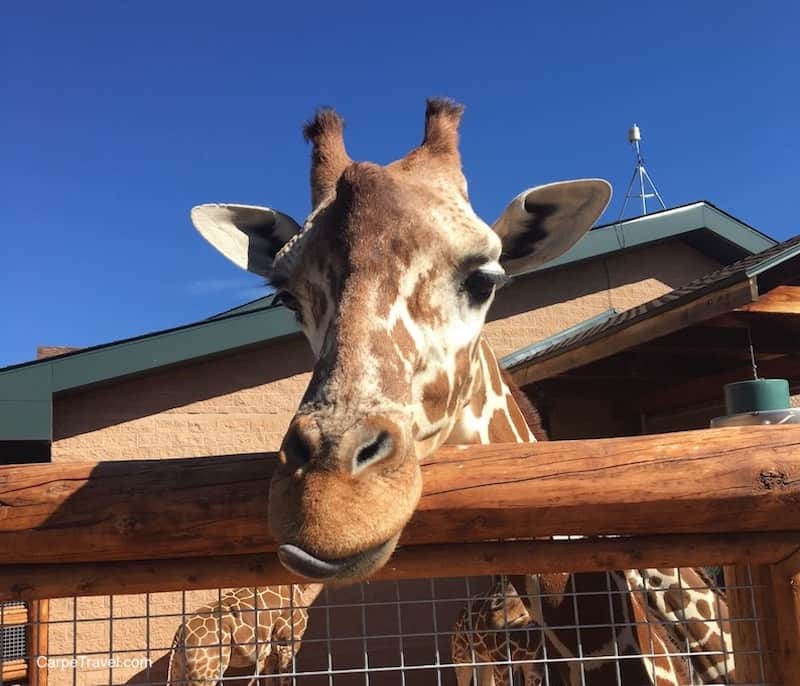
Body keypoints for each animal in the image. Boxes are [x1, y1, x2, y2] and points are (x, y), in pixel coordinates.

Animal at [167, 584, 324, 686]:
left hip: (178, 671)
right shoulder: (287, 642)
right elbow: (286, 677)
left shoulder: (270, 651)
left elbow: (270, 679)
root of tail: (181, 632)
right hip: (205, 673)